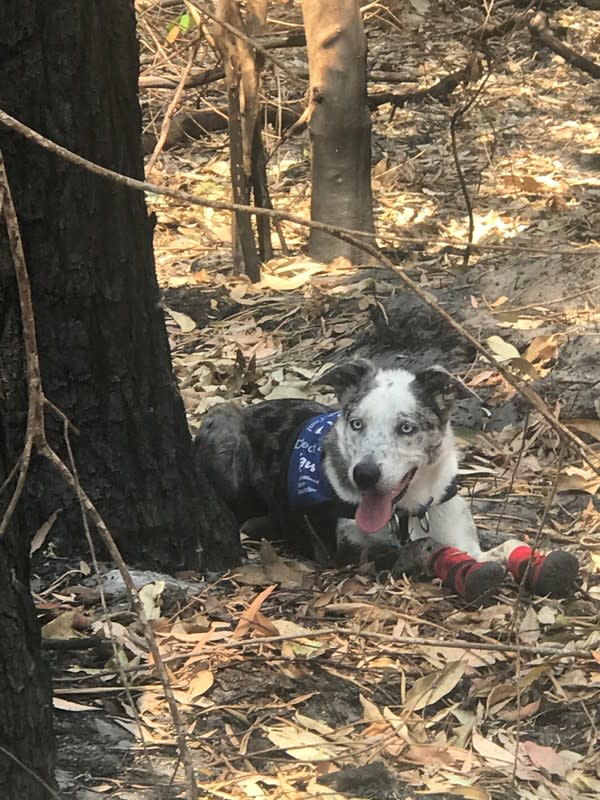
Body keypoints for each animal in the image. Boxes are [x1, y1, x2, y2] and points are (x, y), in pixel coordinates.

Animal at [195, 360, 580, 604]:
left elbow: (503, 543)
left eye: (406, 428)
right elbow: (418, 548)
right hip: (224, 421)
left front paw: (539, 563)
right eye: (356, 423)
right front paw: (461, 568)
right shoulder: (350, 554)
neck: (409, 509)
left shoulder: (458, 529)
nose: (363, 476)